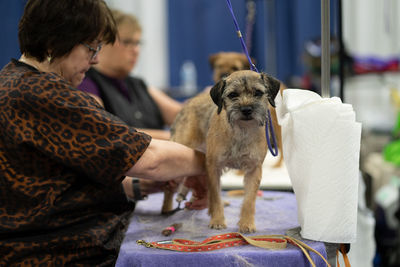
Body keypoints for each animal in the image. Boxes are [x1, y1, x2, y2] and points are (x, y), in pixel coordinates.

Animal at [162, 70, 278, 233]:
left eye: (258, 93)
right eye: (233, 95)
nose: (246, 109)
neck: (241, 131)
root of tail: (188, 103)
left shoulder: (254, 170)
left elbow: (249, 200)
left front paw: (247, 223)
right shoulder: (213, 167)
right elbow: (216, 196)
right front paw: (217, 220)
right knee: (169, 188)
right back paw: (167, 210)